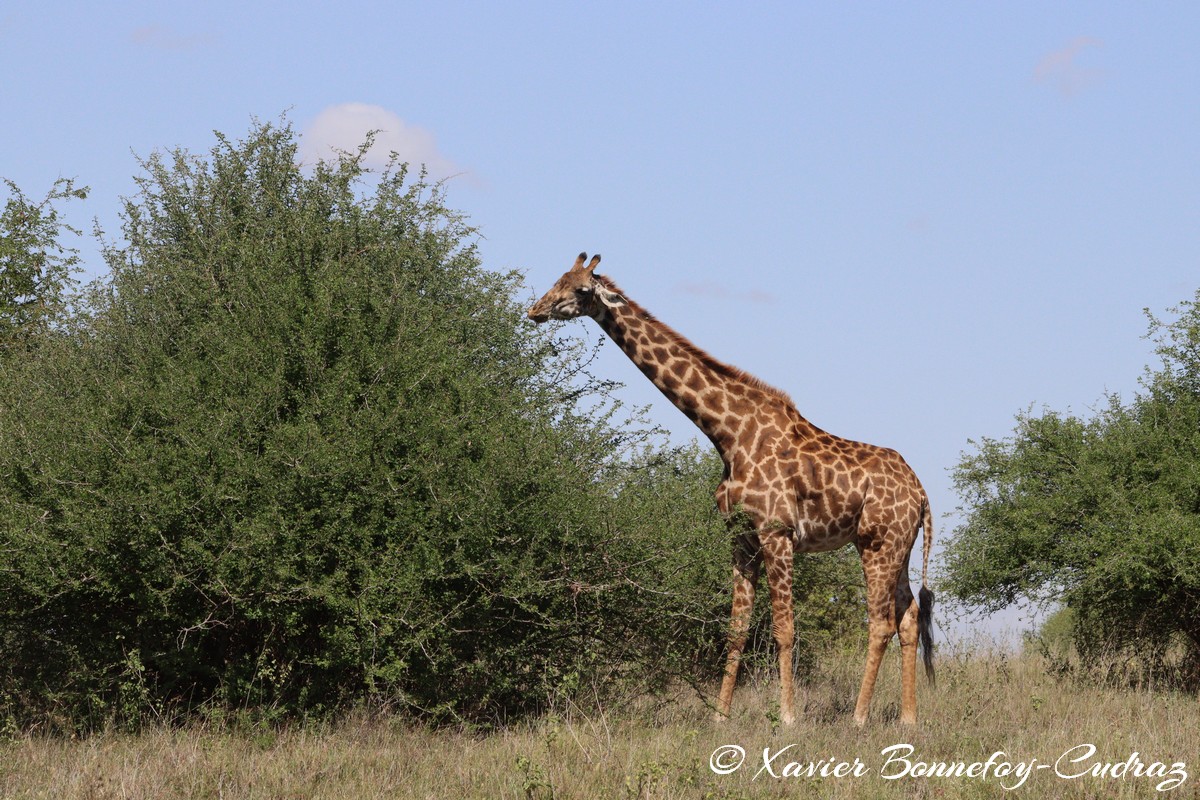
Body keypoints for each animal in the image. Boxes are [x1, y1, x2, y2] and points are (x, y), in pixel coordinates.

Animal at [528, 255, 936, 724]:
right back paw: (907, 717)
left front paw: (788, 718)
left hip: (877, 544)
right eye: (558, 279)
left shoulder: (777, 532)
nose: (536, 310)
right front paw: (720, 717)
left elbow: (783, 628)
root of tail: (921, 491)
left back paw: (859, 716)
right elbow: (737, 628)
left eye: (580, 290)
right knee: (909, 617)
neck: (727, 434)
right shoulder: (740, 537)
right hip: (897, 545)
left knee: (880, 622)